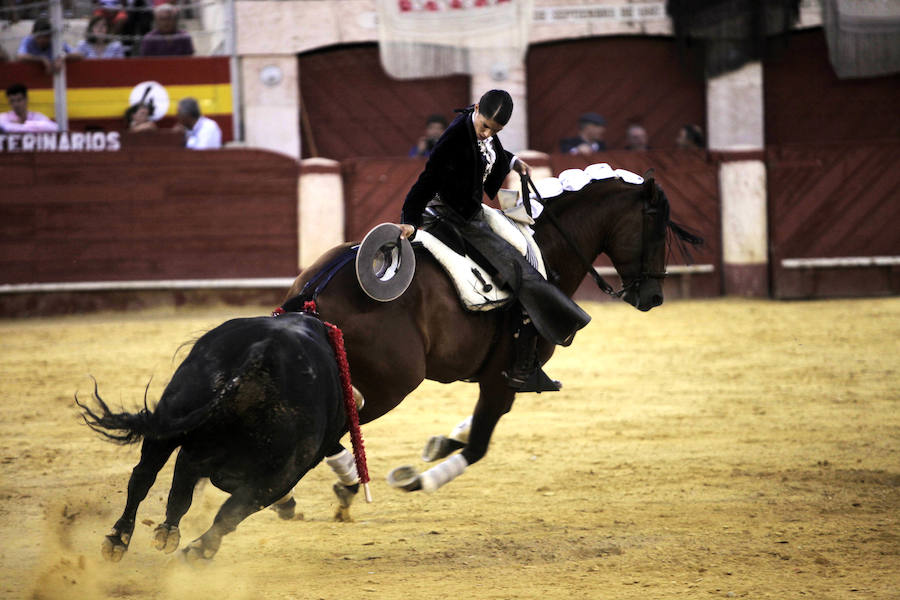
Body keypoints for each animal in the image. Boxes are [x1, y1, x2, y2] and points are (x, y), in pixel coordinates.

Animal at [77, 312, 348, 560]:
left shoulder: (194, 450)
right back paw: (197, 550)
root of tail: (264, 353)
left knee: (143, 477)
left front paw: (167, 531)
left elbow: (181, 491)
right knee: (233, 509)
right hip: (281, 471)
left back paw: (118, 539)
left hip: (171, 414)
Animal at [282, 173, 704, 510]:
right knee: (333, 426)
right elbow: (479, 443)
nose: (654, 297)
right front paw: (416, 478)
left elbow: (475, 430)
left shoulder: (502, 378)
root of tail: (316, 291)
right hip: (392, 385)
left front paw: (440, 443)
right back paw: (337, 483)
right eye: (657, 228)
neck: (545, 249)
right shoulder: (504, 377)